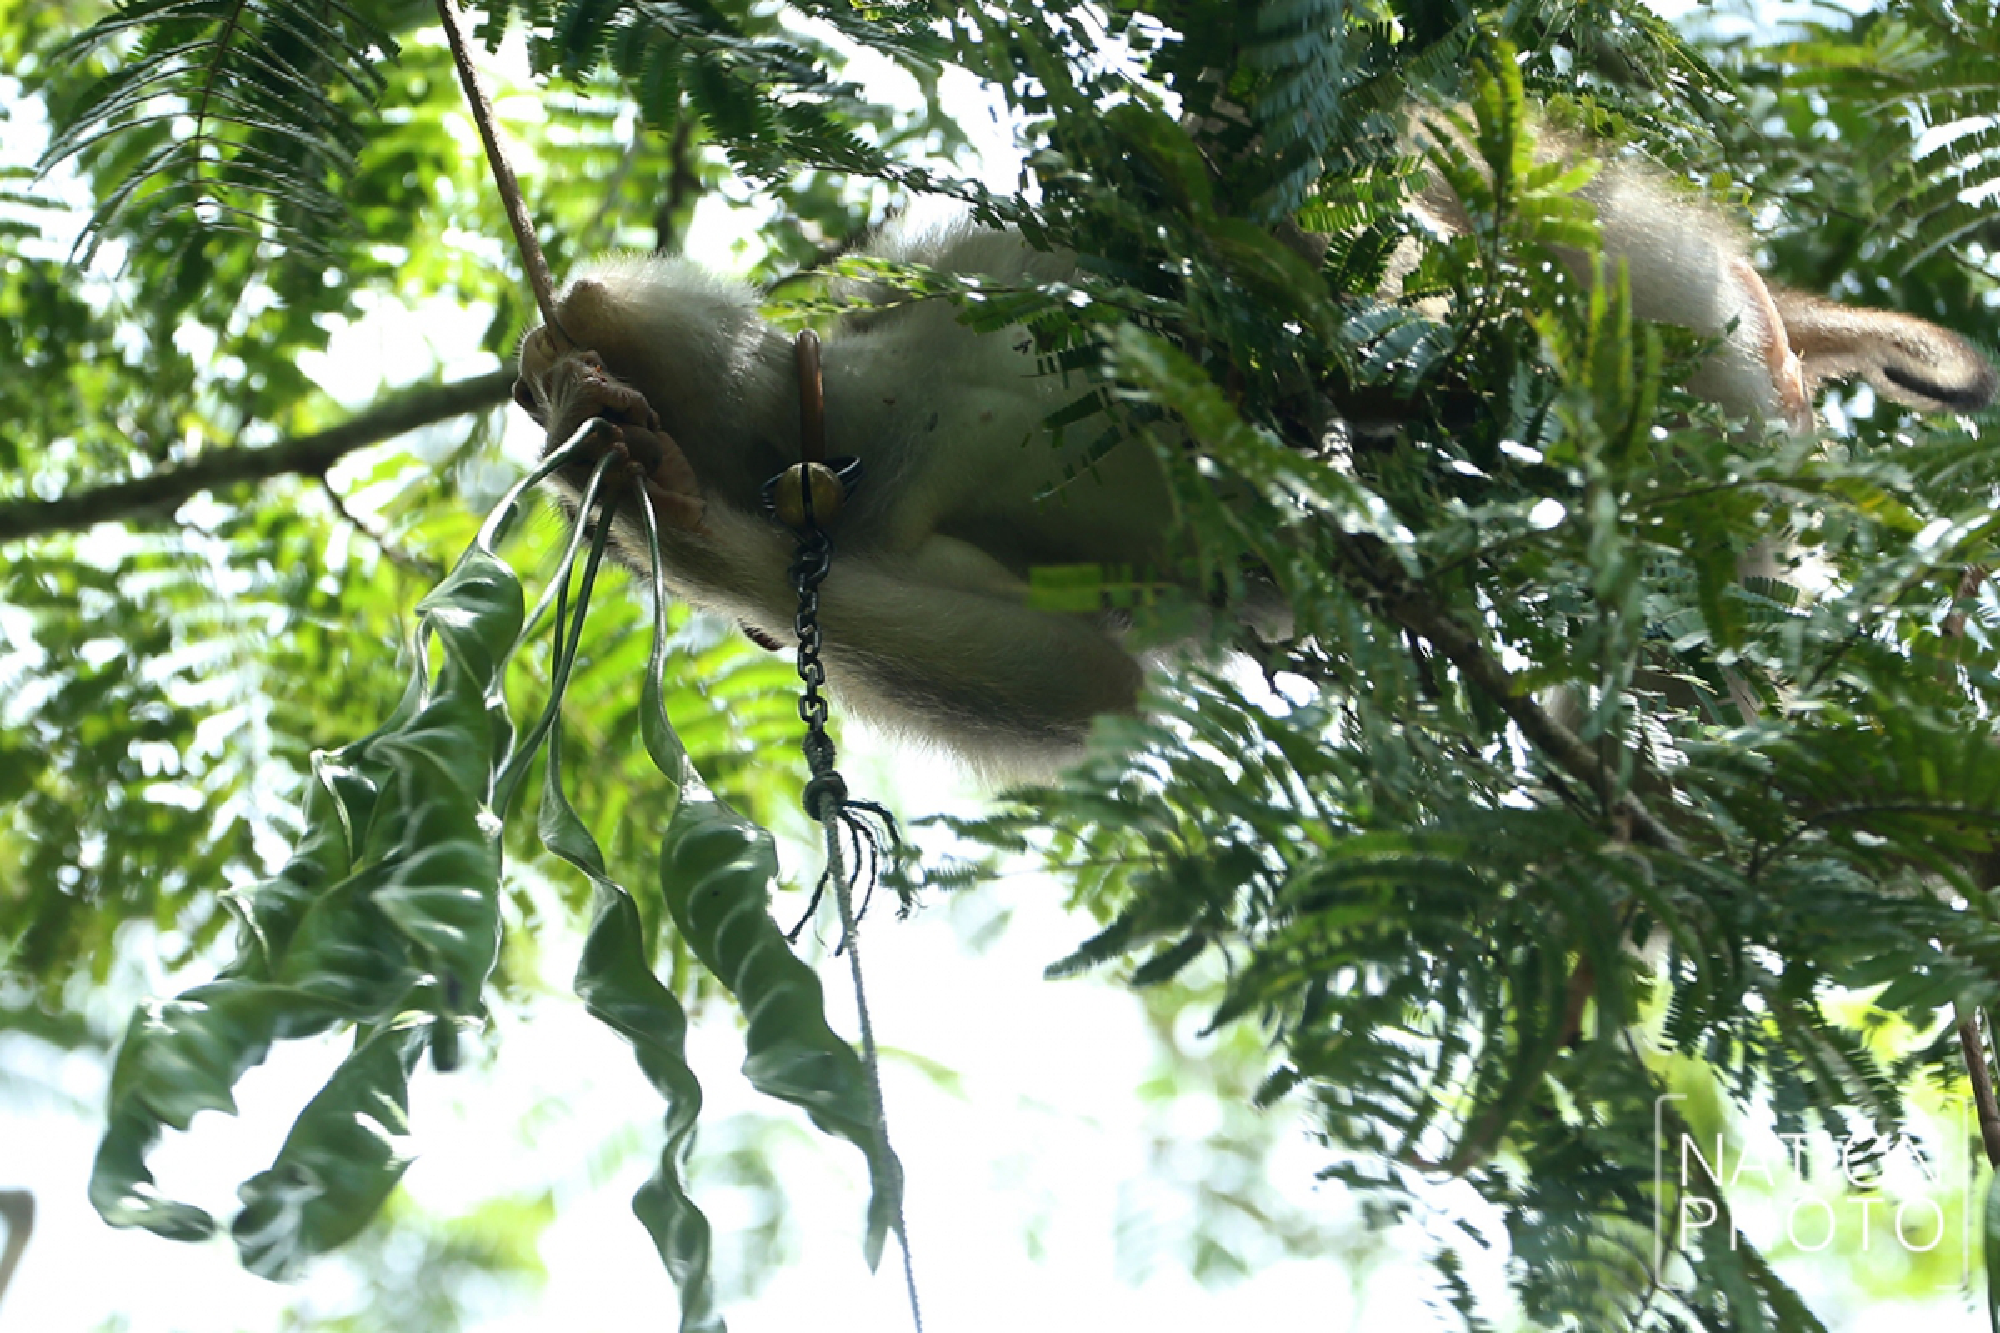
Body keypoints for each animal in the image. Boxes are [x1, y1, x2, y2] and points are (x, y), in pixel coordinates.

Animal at [513, 125, 1996, 776]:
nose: (539, 383)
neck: (861, 416)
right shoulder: (856, 519)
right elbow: (1083, 681)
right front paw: (653, 503)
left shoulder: (963, 268)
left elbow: (1281, 227)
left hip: (1682, 319)